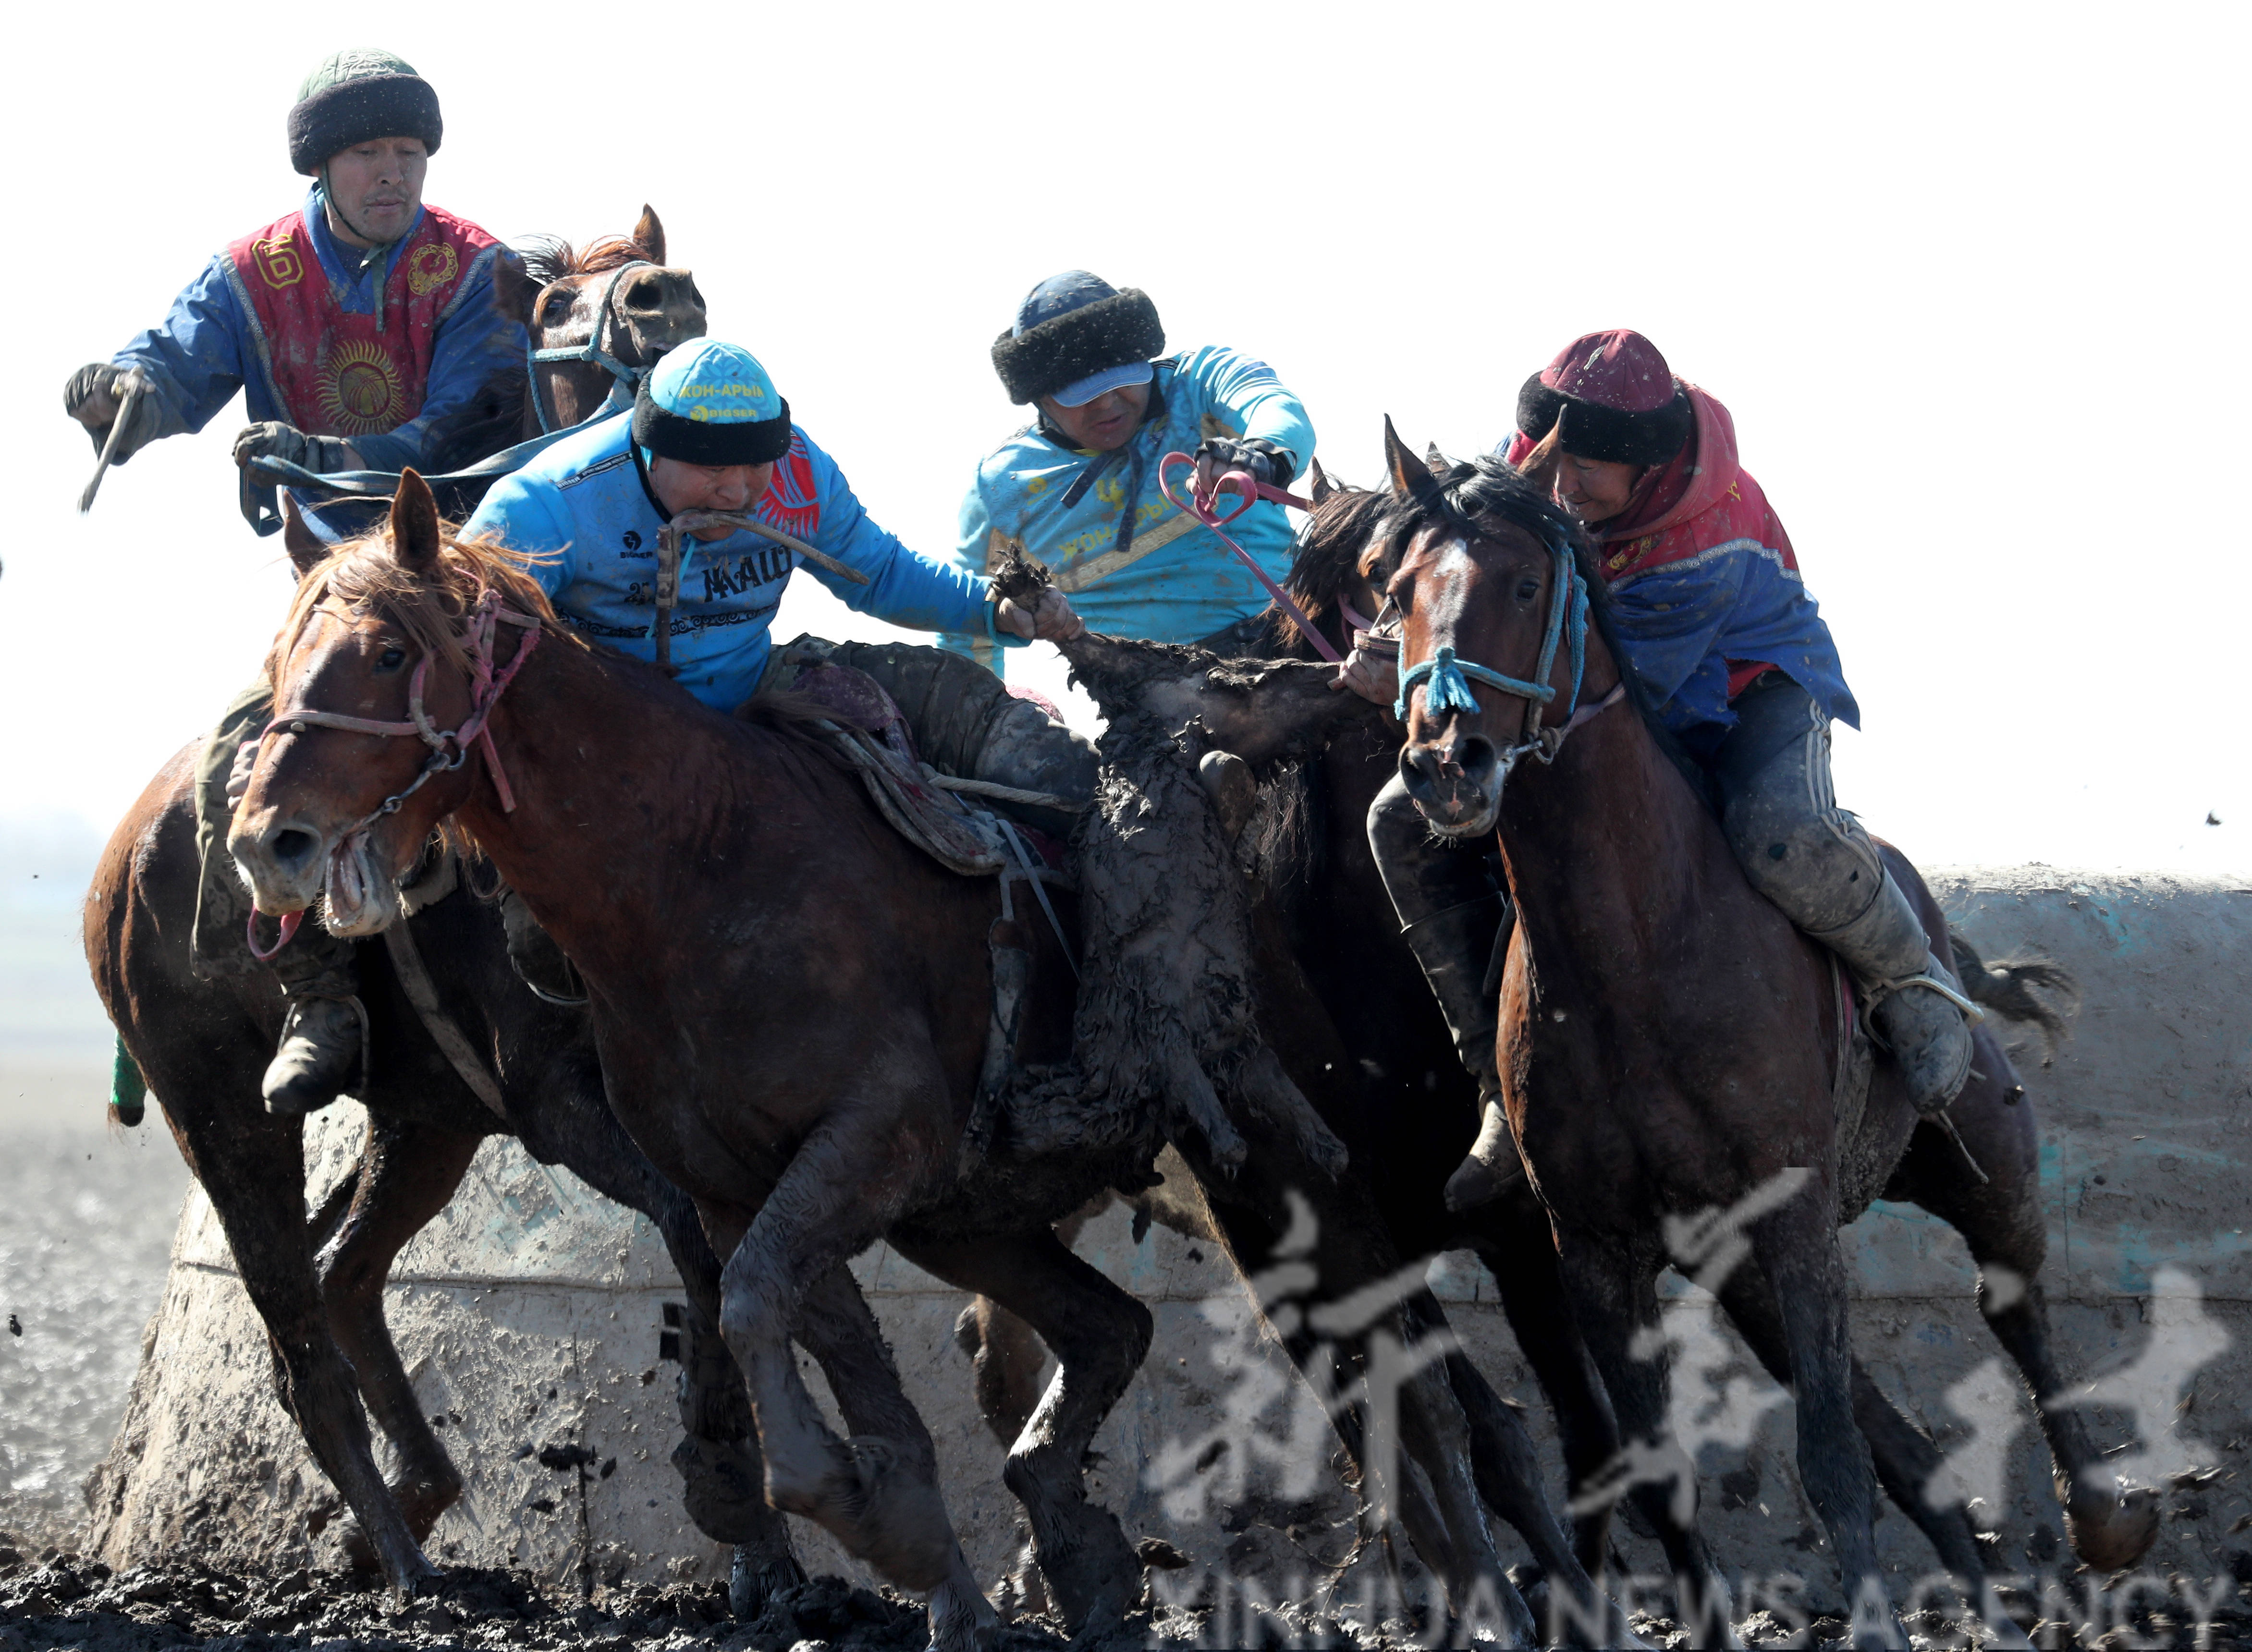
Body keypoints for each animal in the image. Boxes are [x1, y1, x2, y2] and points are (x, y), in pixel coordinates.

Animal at [1360, 427, 2153, 1647]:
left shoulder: (1790, 1211)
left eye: (1526, 585)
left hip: (1976, 1150)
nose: (1447, 760)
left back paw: (2102, 1520)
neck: (1633, 950)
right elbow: (1660, 1473)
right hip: (1738, 1265)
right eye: (1397, 592)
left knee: (2009, 1300)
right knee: (1903, 1435)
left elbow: (1826, 1457)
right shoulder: (1597, 1247)